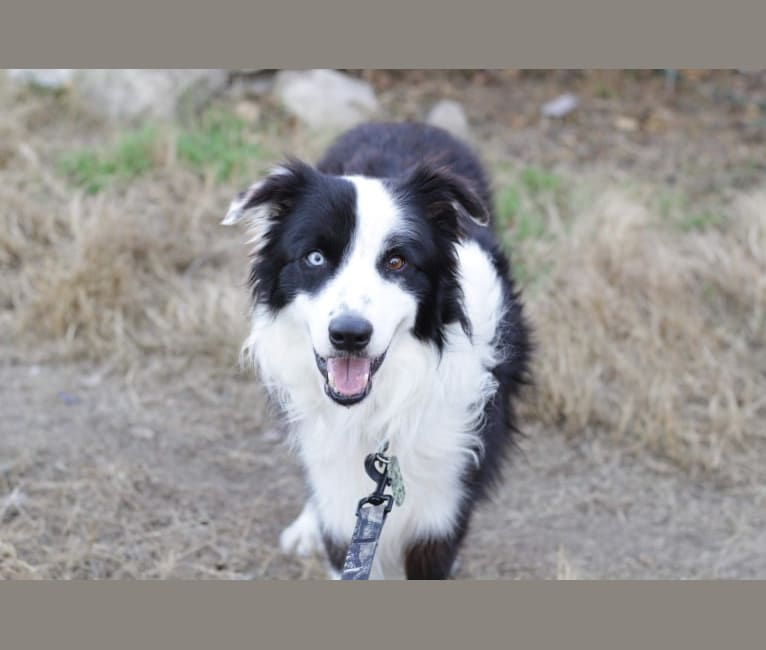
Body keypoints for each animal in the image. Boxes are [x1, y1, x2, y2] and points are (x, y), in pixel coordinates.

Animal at [225, 121, 532, 576]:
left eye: (397, 262)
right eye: (315, 258)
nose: (349, 335)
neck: (379, 412)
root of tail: (404, 123)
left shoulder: (441, 514)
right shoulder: (343, 507)